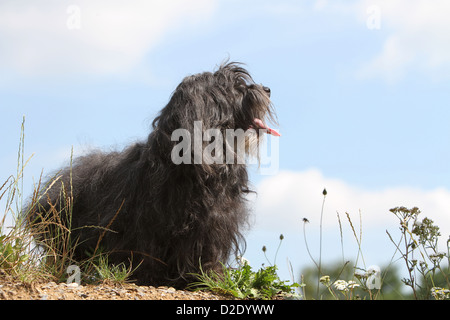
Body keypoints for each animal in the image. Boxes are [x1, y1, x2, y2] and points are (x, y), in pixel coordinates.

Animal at [27, 61, 278, 286]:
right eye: (235, 88)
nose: (267, 89)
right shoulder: (146, 220)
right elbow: (147, 249)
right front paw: (148, 277)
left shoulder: (213, 223)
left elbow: (206, 250)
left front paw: (206, 277)